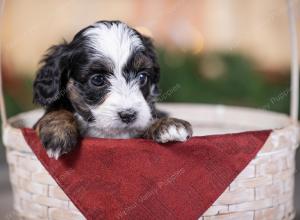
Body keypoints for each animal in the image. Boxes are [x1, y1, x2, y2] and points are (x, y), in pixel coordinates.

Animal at [32, 20, 192, 159]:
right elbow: (56, 111)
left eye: (142, 77)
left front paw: (169, 124)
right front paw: (58, 132)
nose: (129, 115)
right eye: (97, 79)